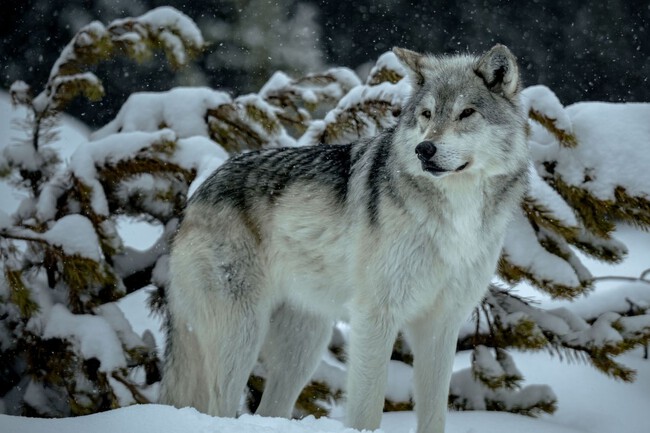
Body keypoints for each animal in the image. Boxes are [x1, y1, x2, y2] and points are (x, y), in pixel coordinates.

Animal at [160, 44, 529, 433]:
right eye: (427, 114)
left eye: (466, 112)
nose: (424, 149)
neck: (456, 214)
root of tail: (196, 195)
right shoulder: (375, 315)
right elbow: (367, 410)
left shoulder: (441, 324)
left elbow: (434, 415)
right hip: (242, 336)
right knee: (219, 409)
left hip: (303, 346)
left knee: (268, 410)